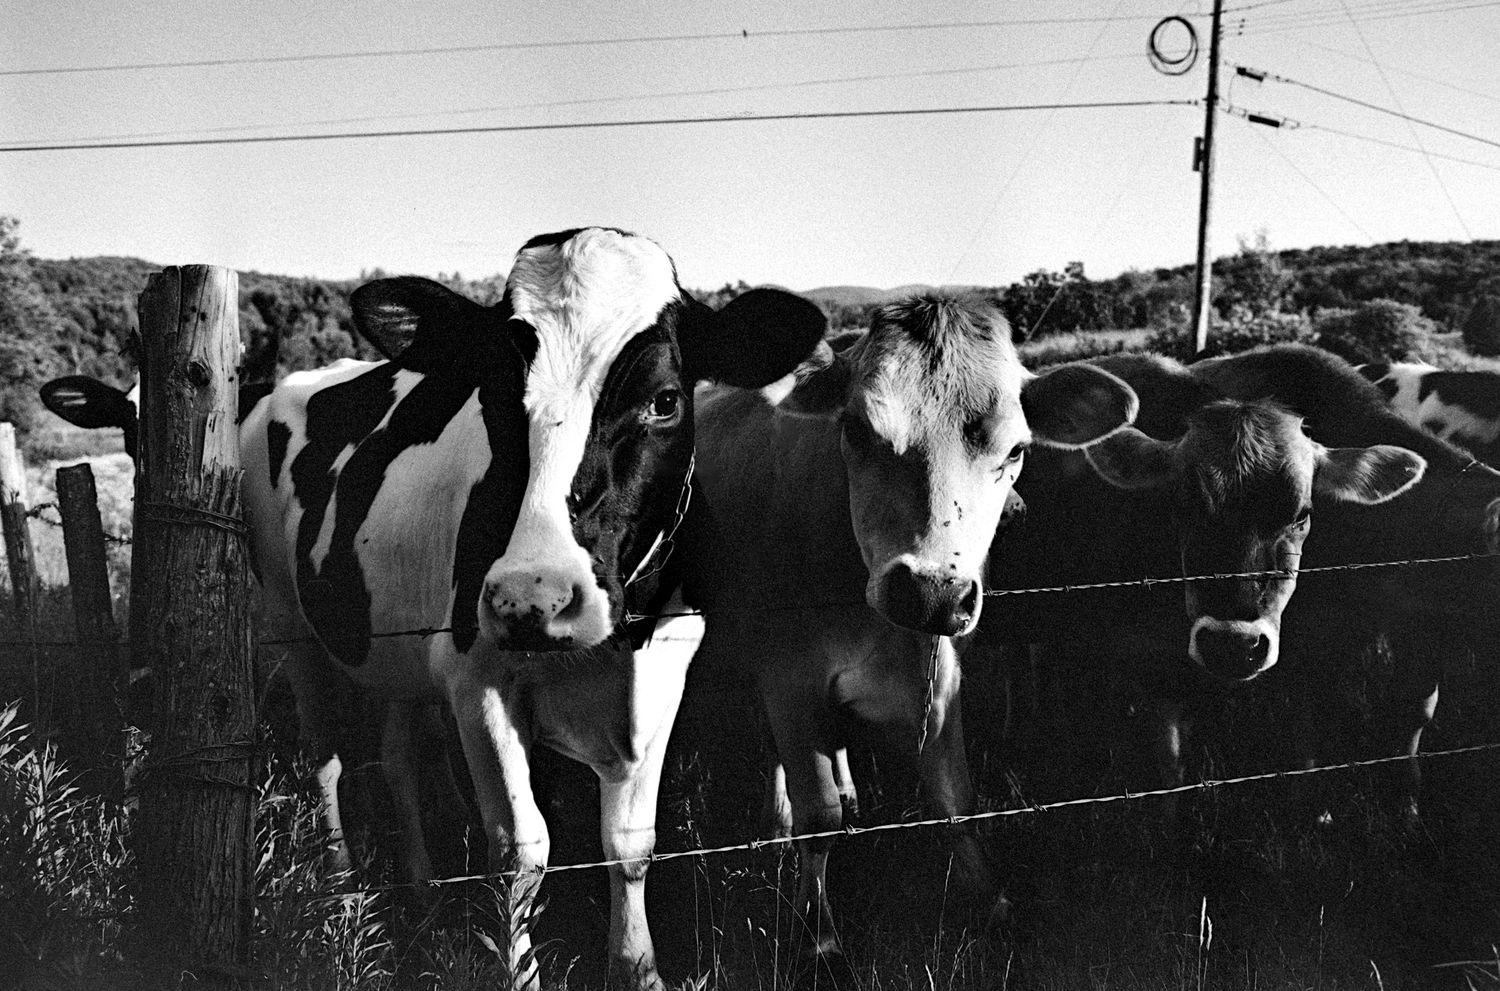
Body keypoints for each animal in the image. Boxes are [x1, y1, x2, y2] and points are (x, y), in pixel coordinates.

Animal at [46, 228, 828, 991]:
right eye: (490, 398)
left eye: (664, 401)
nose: (535, 597)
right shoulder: (475, 679)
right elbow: (520, 849)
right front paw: (517, 970)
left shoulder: (663, 673)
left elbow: (631, 845)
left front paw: (639, 969)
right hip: (293, 626)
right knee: (327, 756)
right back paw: (343, 888)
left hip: (398, 651)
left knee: (397, 760)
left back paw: (422, 893)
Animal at [688, 292, 1140, 979]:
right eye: (855, 430)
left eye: (1016, 451)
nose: (931, 591)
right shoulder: (790, 677)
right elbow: (817, 814)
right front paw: (819, 937)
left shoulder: (943, 675)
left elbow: (956, 802)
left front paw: (995, 905)